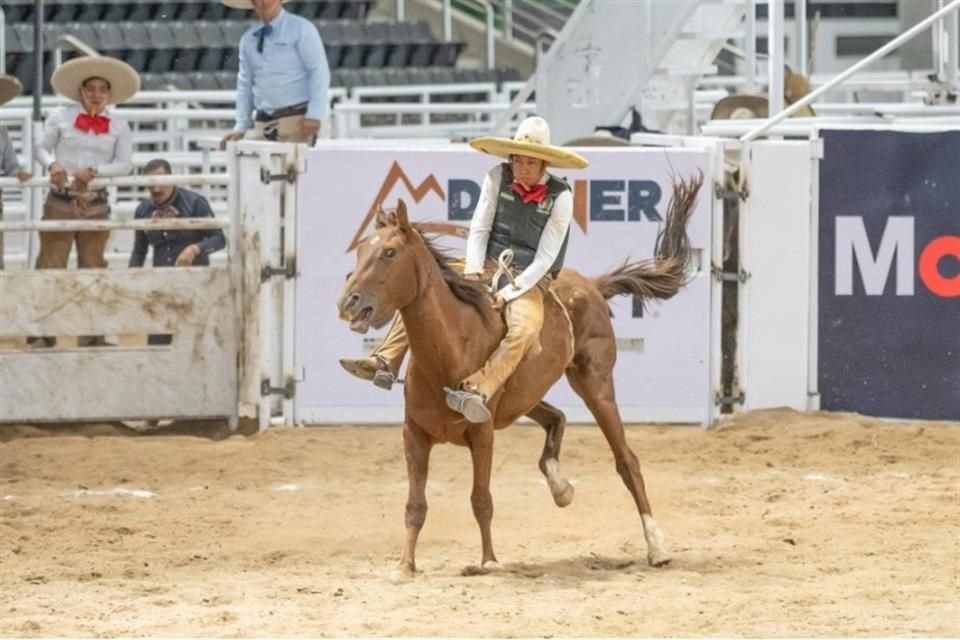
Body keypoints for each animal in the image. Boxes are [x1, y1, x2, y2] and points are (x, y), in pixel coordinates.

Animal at [340, 172, 704, 576]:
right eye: (361, 250)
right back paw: (561, 487)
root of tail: (593, 286)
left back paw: (657, 547)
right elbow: (415, 505)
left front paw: (488, 561)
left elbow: (481, 499)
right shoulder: (414, 434)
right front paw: (406, 564)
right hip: (525, 398)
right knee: (556, 418)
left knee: (627, 461)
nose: (348, 301)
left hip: (595, 384)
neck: (449, 349)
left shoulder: (482, 433)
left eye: (389, 253)